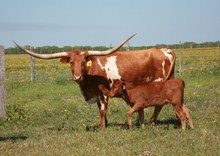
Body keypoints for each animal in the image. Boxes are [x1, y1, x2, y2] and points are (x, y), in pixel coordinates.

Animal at [13, 34, 176, 129]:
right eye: (71, 62)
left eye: (84, 61)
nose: (77, 77)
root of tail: (165, 50)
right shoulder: (97, 94)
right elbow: (100, 110)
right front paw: (104, 124)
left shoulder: (104, 93)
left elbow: (103, 110)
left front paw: (102, 128)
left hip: (158, 82)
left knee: (159, 104)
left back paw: (151, 122)